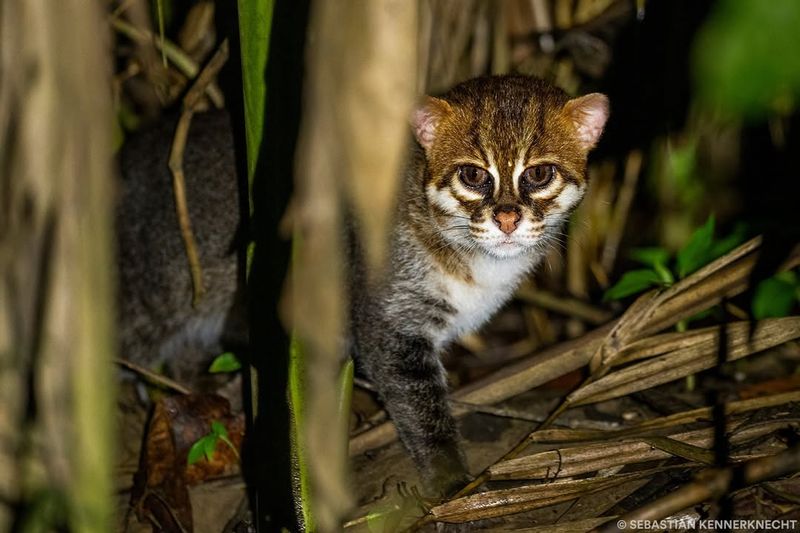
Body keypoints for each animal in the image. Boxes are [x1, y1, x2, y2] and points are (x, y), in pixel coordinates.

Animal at [117, 75, 608, 494]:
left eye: (539, 174)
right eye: (472, 175)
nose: (507, 218)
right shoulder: (388, 323)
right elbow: (421, 408)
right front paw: (451, 481)